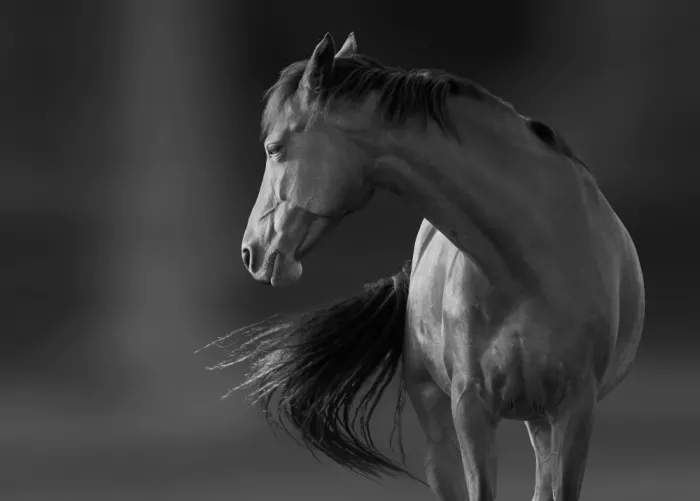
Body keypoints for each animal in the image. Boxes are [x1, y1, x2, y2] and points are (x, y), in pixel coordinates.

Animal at [216, 32, 645, 501]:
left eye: (274, 148)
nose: (252, 251)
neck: (532, 263)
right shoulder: (470, 407)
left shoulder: (575, 410)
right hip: (444, 425)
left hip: (542, 421)